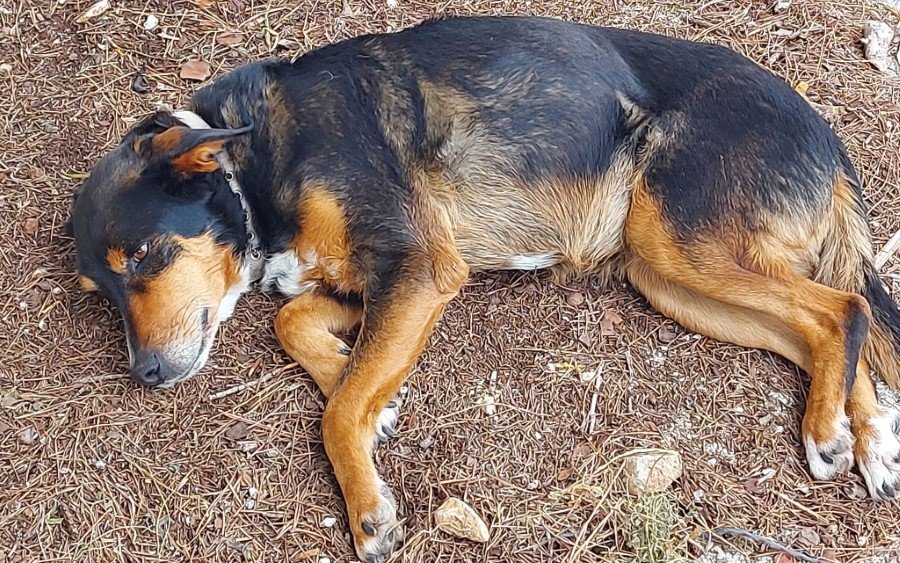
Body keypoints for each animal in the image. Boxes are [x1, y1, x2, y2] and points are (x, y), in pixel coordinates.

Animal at [68, 16, 900, 563]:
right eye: (99, 288)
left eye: (143, 255)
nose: (145, 374)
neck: (254, 156)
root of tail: (829, 140)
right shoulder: (375, 278)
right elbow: (300, 325)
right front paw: (365, 391)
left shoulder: (420, 268)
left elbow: (334, 408)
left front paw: (366, 506)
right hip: (668, 277)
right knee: (823, 327)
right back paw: (863, 435)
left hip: (679, 240)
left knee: (845, 306)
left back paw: (830, 430)